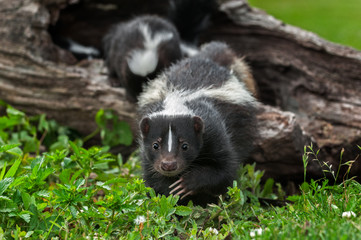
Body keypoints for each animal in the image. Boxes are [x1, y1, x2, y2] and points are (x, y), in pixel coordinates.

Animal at [136, 42, 258, 205]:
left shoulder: (215, 130)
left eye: (185, 146)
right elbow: (153, 178)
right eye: (155, 145)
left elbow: (225, 170)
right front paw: (170, 195)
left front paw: (187, 184)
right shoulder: (146, 152)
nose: (168, 164)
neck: (178, 100)